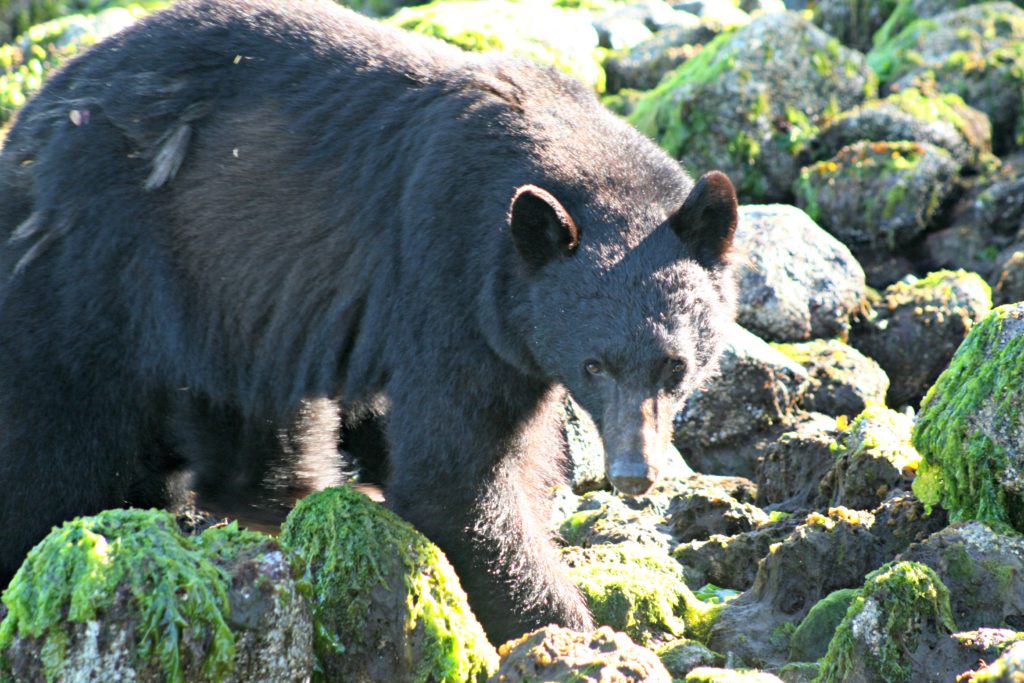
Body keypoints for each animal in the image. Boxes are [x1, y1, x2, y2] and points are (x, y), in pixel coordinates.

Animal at [0, 0, 738, 643]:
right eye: (594, 364)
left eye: (676, 365)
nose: (634, 472)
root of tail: (28, 123)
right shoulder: (449, 283)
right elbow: (456, 473)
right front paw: (567, 626)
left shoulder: (511, 329)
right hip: (96, 270)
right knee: (61, 441)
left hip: (225, 303)